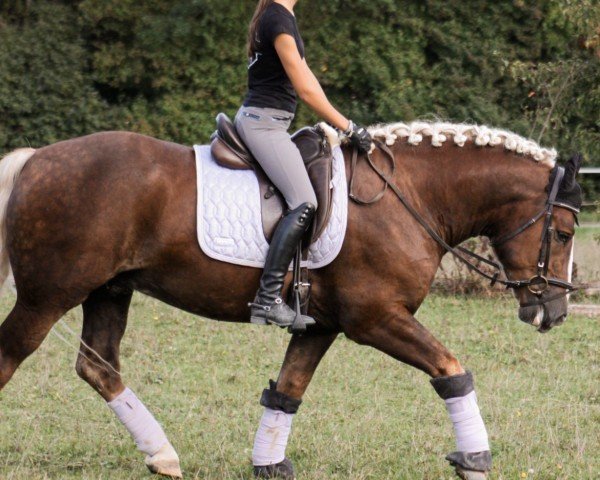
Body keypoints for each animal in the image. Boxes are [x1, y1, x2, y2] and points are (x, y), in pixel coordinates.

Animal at [0, 122, 580, 478]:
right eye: (566, 232)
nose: (553, 313)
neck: (408, 196)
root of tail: (35, 160)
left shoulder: (321, 325)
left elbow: (287, 391)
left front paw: (268, 464)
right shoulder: (375, 318)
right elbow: (451, 370)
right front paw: (474, 458)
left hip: (109, 290)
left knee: (98, 365)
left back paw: (162, 454)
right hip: (47, 296)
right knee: (12, 355)